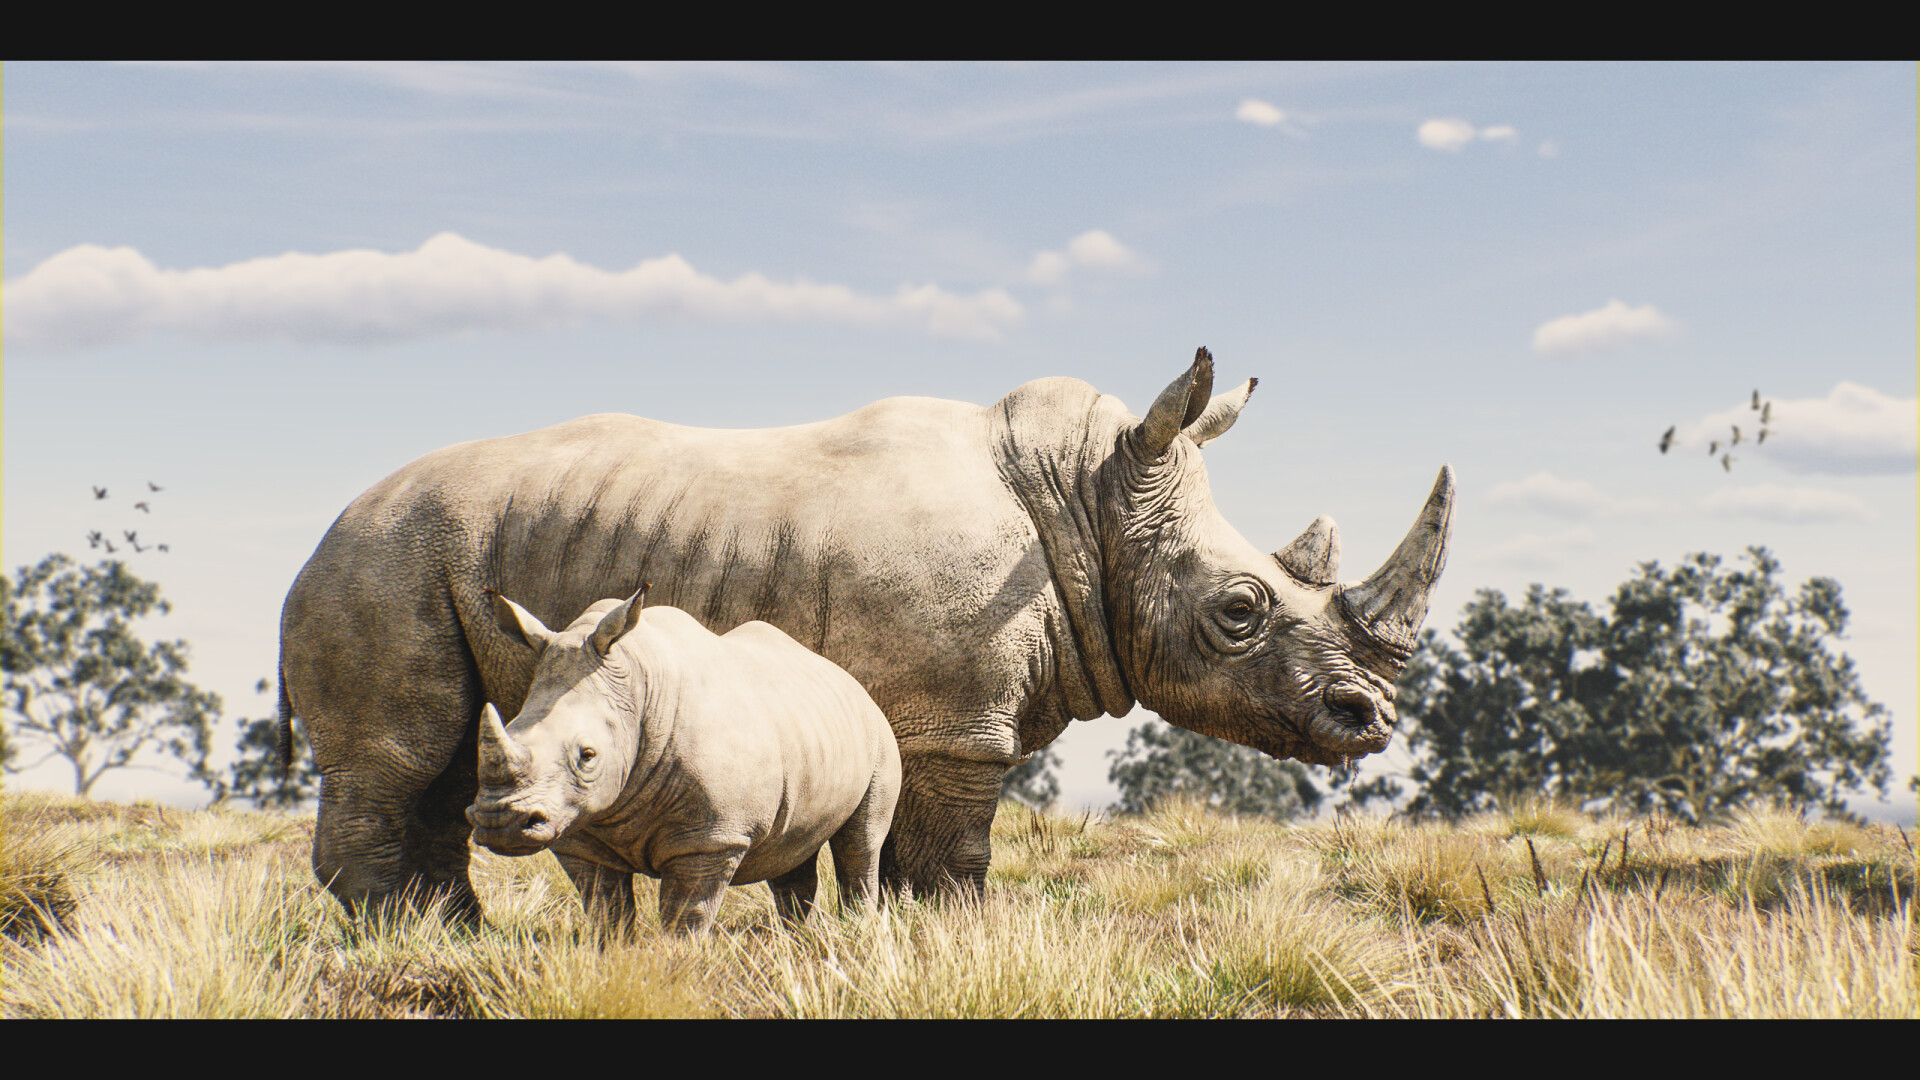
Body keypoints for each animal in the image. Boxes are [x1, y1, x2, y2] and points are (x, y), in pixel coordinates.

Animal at [466, 587, 900, 934]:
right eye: (511, 729)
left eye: (587, 756)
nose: (500, 823)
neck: (636, 685)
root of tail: (851, 681)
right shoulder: (580, 834)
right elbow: (606, 911)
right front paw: (612, 961)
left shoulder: (711, 840)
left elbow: (685, 917)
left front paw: (678, 967)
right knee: (790, 849)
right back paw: (797, 939)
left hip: (880, 733)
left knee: (860, 844)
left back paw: (857, 933)